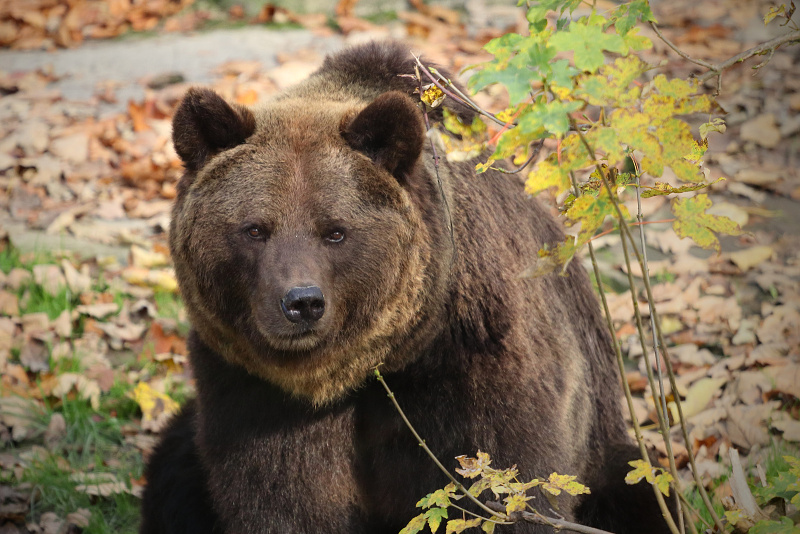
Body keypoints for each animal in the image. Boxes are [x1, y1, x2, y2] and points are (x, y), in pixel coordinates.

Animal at [139, 43, 676, 534]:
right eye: (254, 229)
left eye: (335, 231)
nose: (302, 303)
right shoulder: (250, 390)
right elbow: (278, 498)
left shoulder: (477, 367)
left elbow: (507, 487)